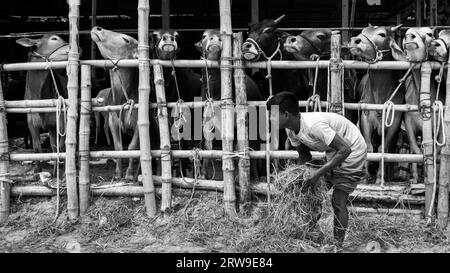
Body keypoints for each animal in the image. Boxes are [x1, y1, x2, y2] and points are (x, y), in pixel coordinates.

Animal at [15, 34, 70, 174]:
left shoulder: (60, 122)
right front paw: (37, 171)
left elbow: (61, 147)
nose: (78, 48)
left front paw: (61, 173)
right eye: (54, 38)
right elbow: (37, 149)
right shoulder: (31, 122)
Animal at [90, 25, 140, 178]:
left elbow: (132, 147)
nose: (97, 28)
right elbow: (118, 147)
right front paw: (118, 173)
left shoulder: (139, 123)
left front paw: (129, 173)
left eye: (126, 40)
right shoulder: (113, 121)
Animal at [194, 29, 262, 178]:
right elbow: (207, 146)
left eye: (222, 36)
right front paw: (203, 175)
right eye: (204, 35)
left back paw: (256, 175)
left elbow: (236, 148)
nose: (215, 39)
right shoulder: (207, 121)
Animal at [346, 25, 406, 183]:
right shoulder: (365, 119)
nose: (355, 40)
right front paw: (365, 177)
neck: (380, 92)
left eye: (382, 34)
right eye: (363, 31)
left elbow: (383, 149)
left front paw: (380, 178)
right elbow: (369, 147)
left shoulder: (394, 123)